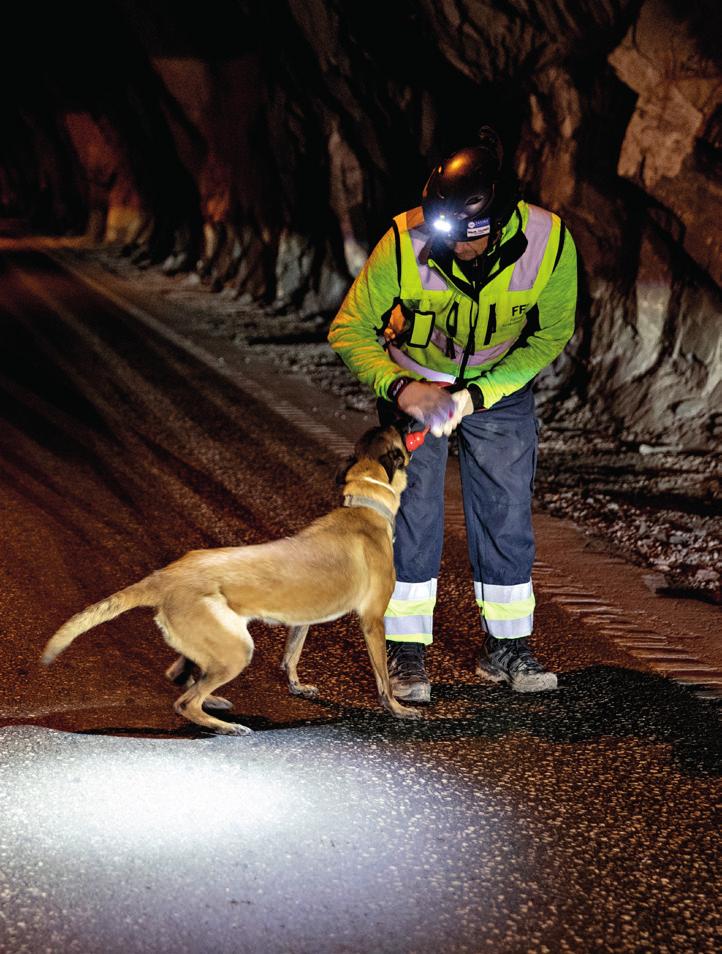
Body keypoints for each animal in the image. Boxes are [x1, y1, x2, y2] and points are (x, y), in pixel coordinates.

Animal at [40, 428, 422, 732]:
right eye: (398, 437)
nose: (406, 421)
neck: (364, 503)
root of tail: (164, 575)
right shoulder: (372, 620)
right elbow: (383, 680)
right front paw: (398, 709)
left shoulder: (302, 622)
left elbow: (291, 656)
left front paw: (297, 687)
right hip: (237, 649)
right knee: (185, 701)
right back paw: (224, 726)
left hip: (213, 643)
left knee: (182, 677)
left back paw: (214, 703)